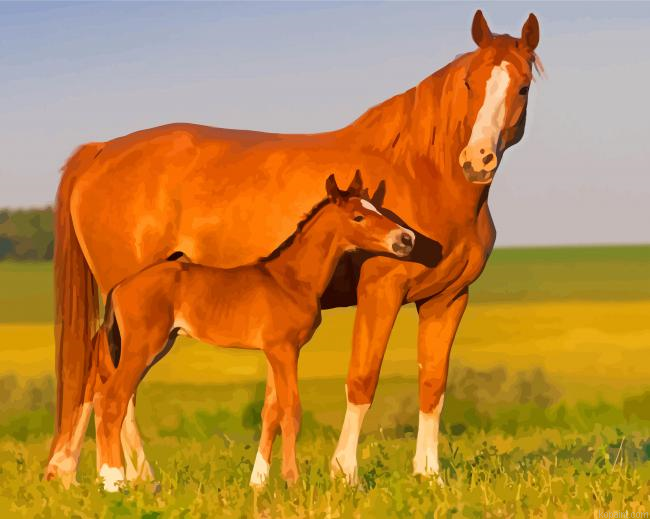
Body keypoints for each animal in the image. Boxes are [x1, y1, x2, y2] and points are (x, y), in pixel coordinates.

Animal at [86, 172, 414, 491]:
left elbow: (272, 411)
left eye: (378, 209)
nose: (406, 239)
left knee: (106, 398)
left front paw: (264, 483)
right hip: (143, 347)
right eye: (359, 216)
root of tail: (121, 286)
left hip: (156, 347)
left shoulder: (276, 352)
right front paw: (293, 482)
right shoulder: (284, 349)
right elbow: (291, 411)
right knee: (112, 399)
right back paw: (113, 482)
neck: (290, 279)